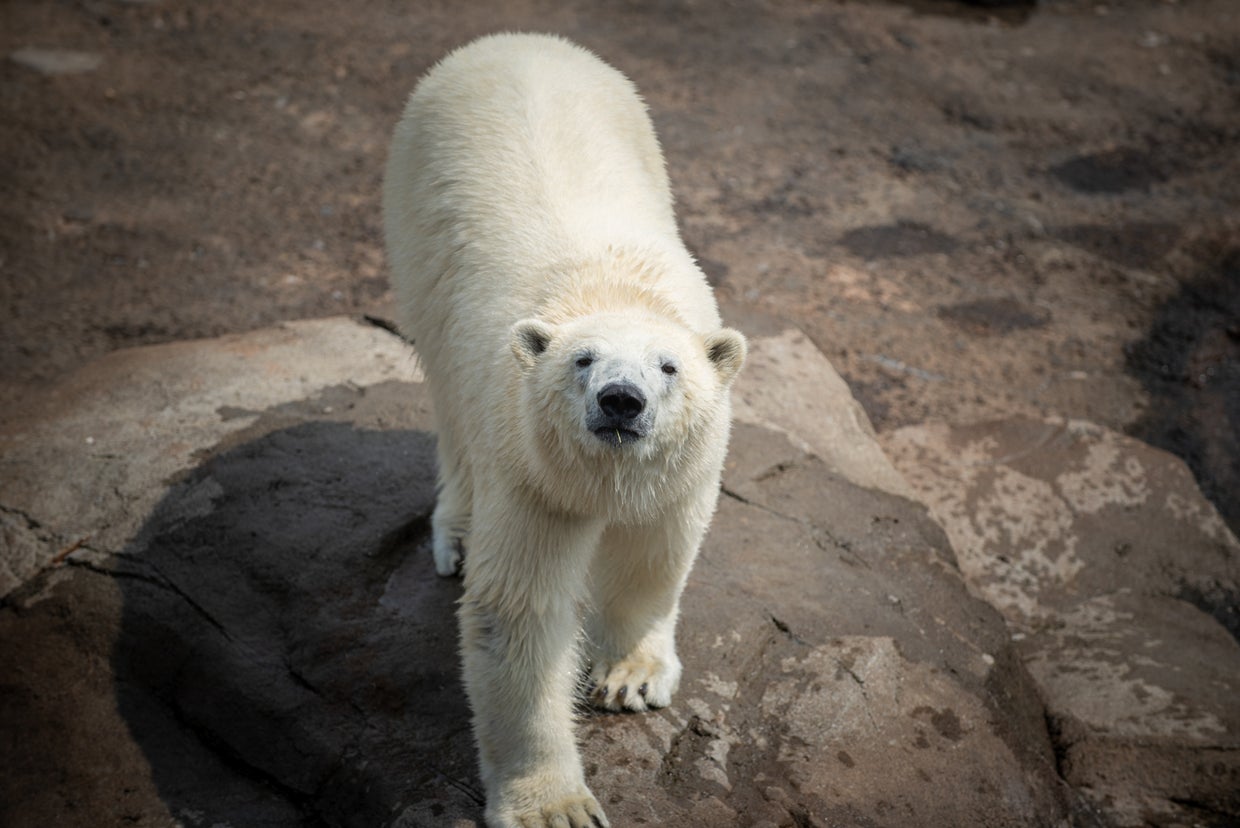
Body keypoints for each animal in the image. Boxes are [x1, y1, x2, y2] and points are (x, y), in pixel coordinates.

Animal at [382, 33, 746, 828]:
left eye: (668, 366)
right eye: (583, 361)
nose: (621, 401)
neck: (609, 287)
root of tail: (512, 40)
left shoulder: (683, 471)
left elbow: (653, 552)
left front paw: (629, 677)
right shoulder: (532, 472)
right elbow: (519, 612)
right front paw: (554, 805)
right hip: (417, 218)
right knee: (446, 393)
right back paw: (457, 532)